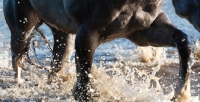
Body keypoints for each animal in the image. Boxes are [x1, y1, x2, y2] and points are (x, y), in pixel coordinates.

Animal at [3, 0, 191, 101]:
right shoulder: (87, 32)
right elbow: (85, 78)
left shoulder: (143, 32)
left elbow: (183, 42)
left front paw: (180, 94)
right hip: (22, 31)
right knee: (16, 59)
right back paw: (18, 84)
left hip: (64, 38)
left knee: (55, 67)